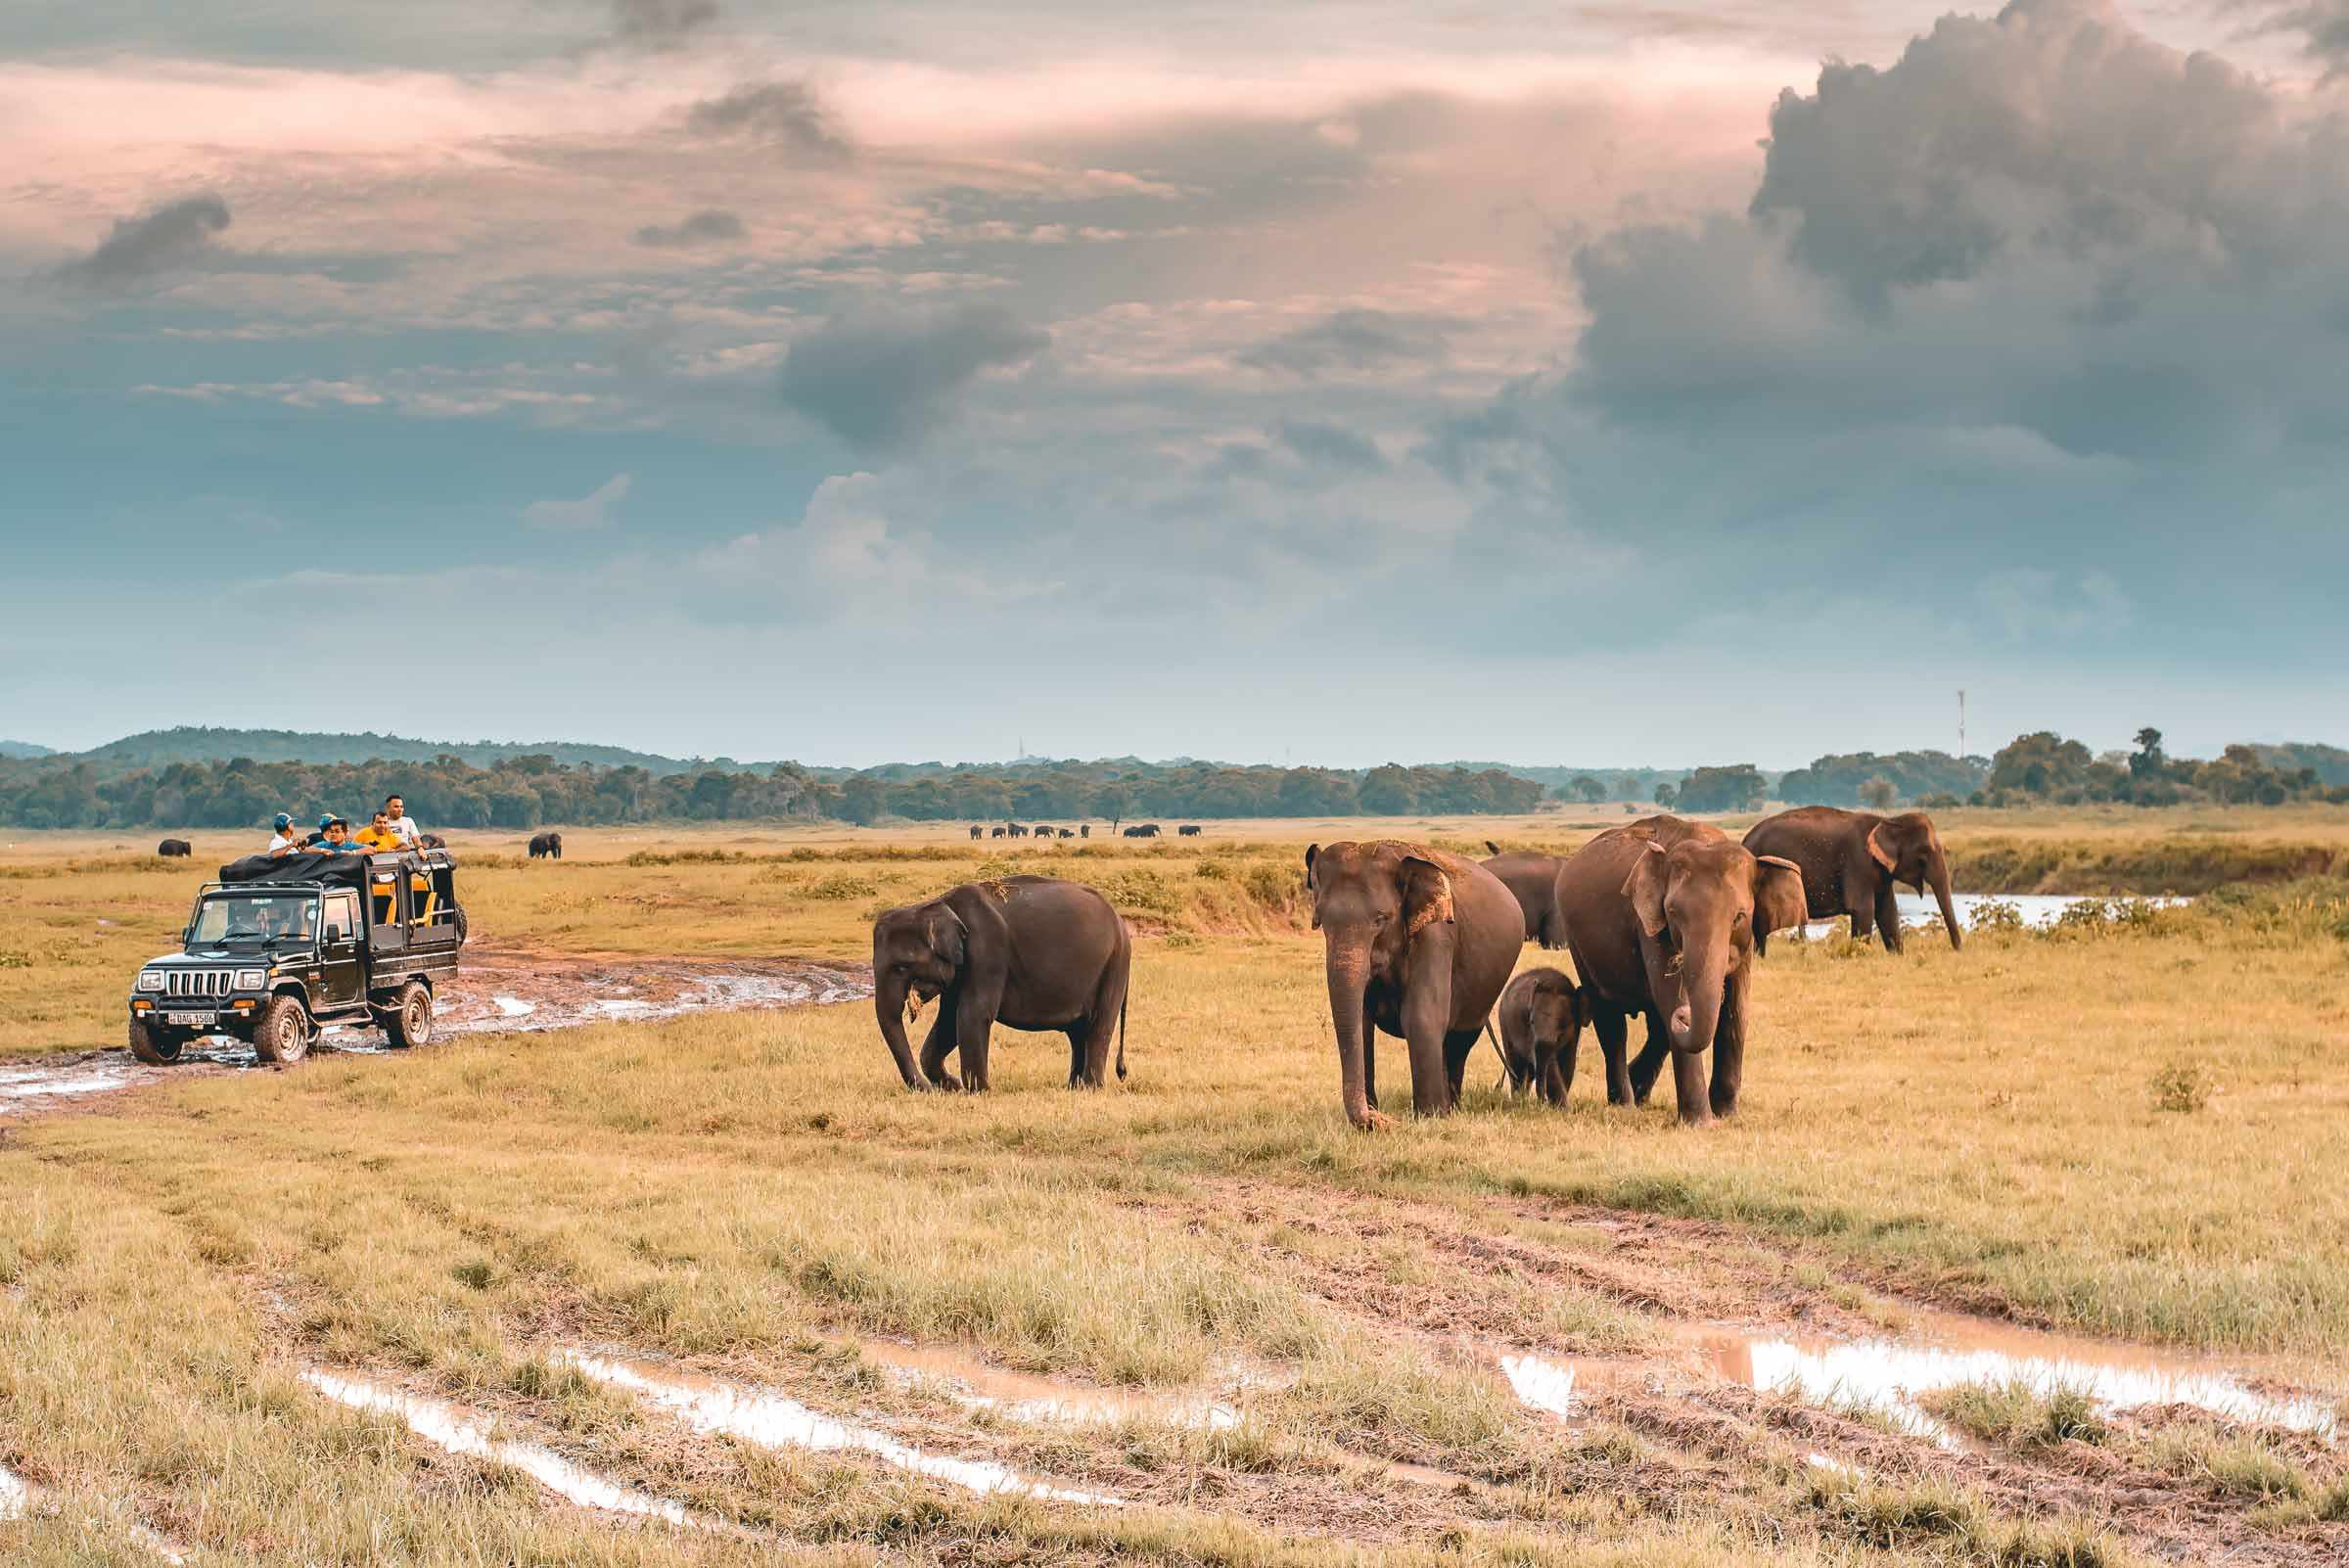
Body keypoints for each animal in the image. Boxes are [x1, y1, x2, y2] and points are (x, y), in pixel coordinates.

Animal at [869, 877, 1131, 1098]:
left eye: (901, 967)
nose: (926, 1089)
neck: (942, 905)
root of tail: (1120, 921)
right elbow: (948, 1021)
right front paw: (953, 1086)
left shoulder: (987, 952)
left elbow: (972, 1014)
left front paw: (979, 1092)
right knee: (1077, 1032)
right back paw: (1073, 1088)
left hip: (1115, 963)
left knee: (1099, 1025)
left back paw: (1091, 1088)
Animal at [1306, 845, 1522, 1127]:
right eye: (1321, 921)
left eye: (1380, 919)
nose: (1380, 1121)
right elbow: (1362, 1024)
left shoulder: (1436, 936)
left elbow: (1422, 1016)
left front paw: (1429, 1118)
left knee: (1460, 1041)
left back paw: (1450, 1109)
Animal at [1494, 967, 1588, 1103]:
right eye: (1531, 1022)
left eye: (1562, 1029)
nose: (1543, 1101)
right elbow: (1551, 1066)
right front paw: (1560, 1106)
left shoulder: (1574, 1032)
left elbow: (1569, 1063)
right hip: (1505, 1026)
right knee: (1517, 1066)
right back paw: (1519, 1099)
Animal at [1559, 816, 1813, 1122]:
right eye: (1673, 913)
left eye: (1739, 916)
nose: (1685, 1015)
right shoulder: (1648, 926)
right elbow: (1669, 995)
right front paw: (1700, 1122)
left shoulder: (1747, 939)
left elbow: (1736, 1010)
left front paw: (1726, 1115)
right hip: (1578, 945)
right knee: (1611, 1022)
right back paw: (1625, 1103)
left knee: (1657, 1027)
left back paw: (1639, 1092)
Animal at [1747, 807, 1963, 957]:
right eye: (1923, 853)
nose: (1957, 950)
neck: (1888, 821)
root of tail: (1745, 840)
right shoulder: (1858, 862)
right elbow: (1864, 909)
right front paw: (1860, 957)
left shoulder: (1881, 872)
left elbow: (1888, 911)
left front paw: (1897, 956)